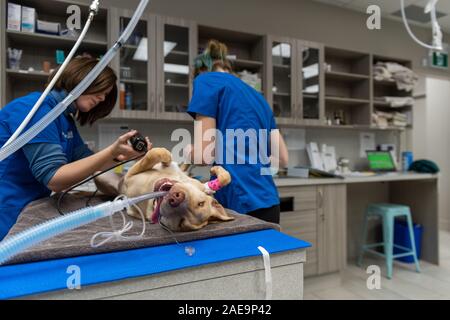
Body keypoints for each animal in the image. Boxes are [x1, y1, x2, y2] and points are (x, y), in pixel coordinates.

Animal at [96, 148, 236, 232]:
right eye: (200, 203)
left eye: (181, 223)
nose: (176, 198)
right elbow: (157, 153)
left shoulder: (130, 176)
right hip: (99, 175)